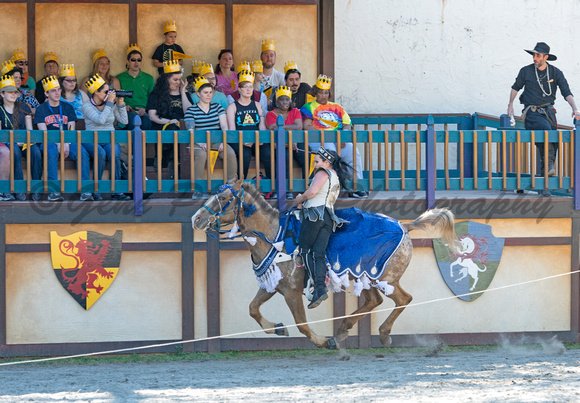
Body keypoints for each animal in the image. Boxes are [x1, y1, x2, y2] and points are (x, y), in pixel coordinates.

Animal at [193, 180, 460, 350]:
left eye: (223, 198)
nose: (197, 219)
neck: (274, 235)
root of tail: (405, 226)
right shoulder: (271, 285)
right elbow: (252, 309)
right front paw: (277, 328)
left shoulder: (291, 291)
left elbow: (301, 323)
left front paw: (323, 341)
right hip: (364, 277)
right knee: (374, 301)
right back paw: (344, 328)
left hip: (385, 278)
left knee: (403, 299)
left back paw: (382, 335)